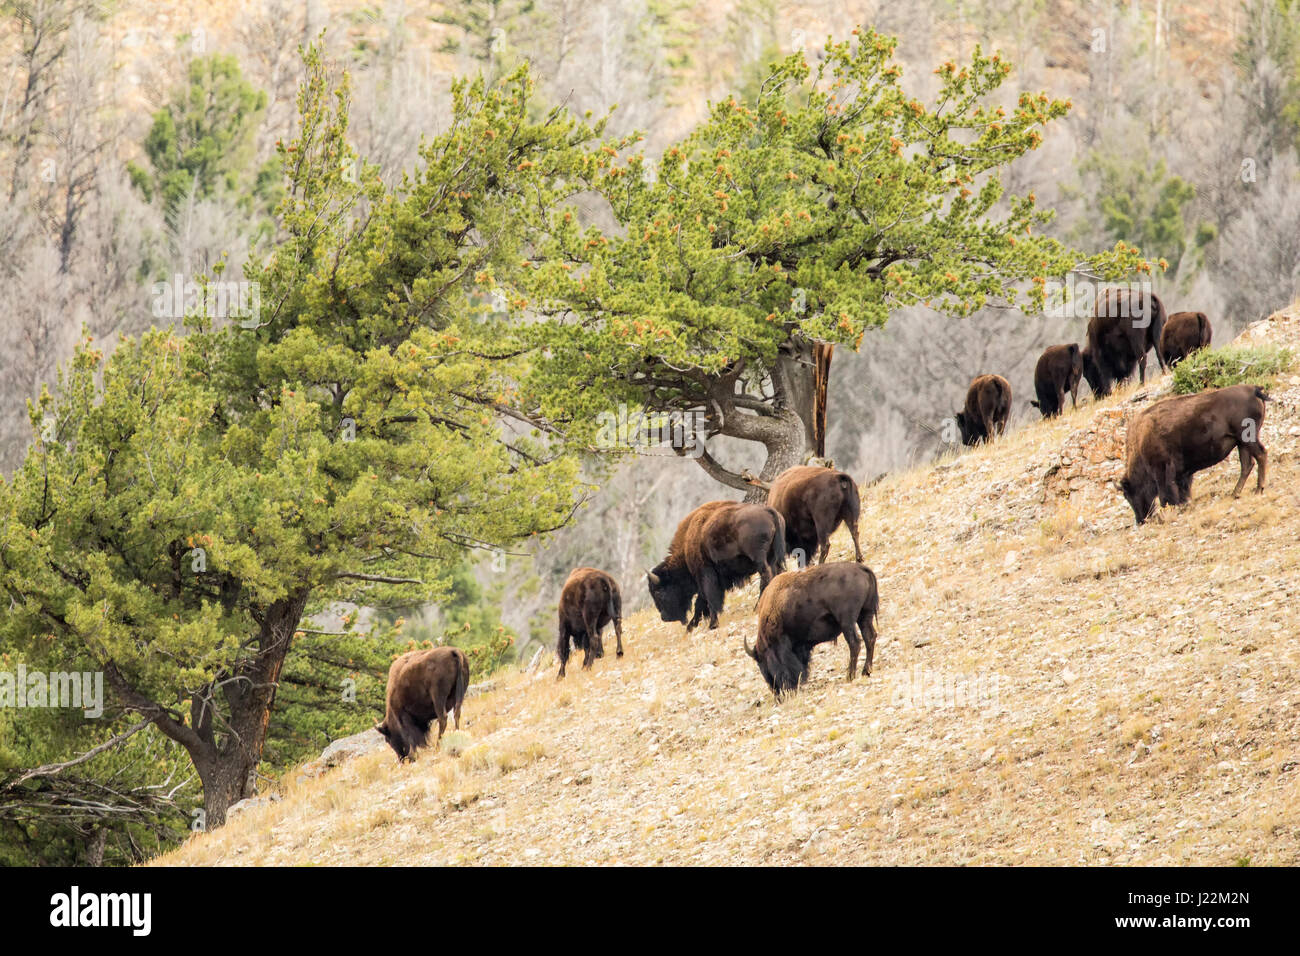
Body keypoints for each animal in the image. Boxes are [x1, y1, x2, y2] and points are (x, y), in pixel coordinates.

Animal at [647, 502, 785, 634]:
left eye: (658, 592)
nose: (664, 617)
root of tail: (768, 510)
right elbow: (701, 603)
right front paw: (690, 627)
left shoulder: (705, 574)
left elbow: (709, 599)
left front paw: (712, 625)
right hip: (772, 557)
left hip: (758, 559)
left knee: (766, 576)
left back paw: (757, 607)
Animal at [743, 561, 883, 697]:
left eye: (764, 663)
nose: (778, 695)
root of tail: (861, 568)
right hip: (864, 615)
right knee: (869, 637)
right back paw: (866, 672)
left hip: (847, 622)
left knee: (855, 643)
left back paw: (850, 676)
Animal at [1118, 385, 1268, 528]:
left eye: (1129, 494)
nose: (1140, 520)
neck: (1141, 439)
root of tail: (1254, 390)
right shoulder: (1182, 472)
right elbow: (1183, 488)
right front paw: (1186, 504)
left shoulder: (1162, 469)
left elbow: (1166, 493)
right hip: (1241, 443)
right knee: (1247, 464)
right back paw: (1235, 494)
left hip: (1248, 439)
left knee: (1261, 455)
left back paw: (1258, 489)